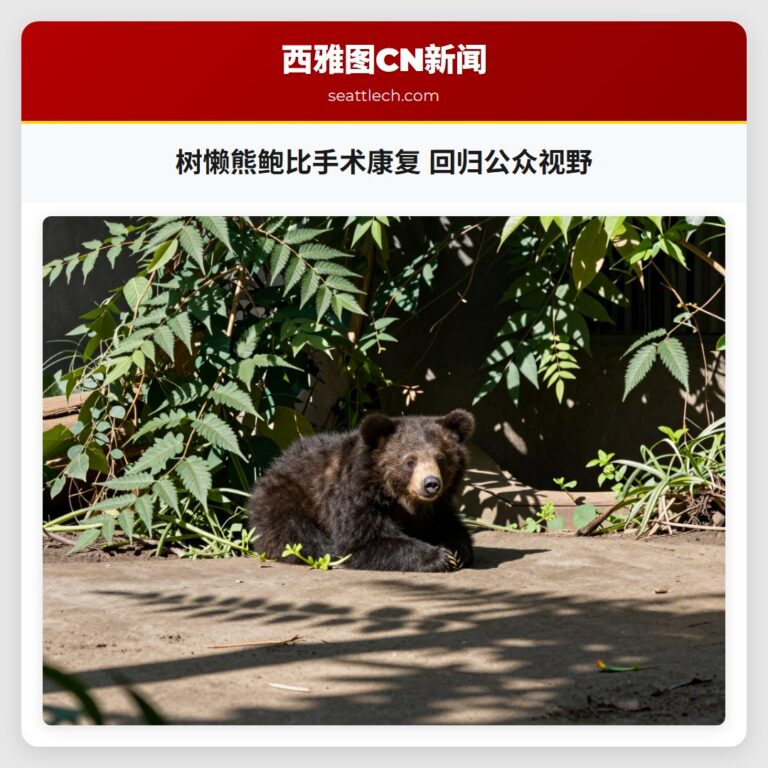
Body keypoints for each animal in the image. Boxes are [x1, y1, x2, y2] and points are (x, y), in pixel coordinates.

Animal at [248, 409, 475, 572]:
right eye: (410, 461)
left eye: (440, 458)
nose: (431, 484)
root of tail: (271, 468)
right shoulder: (355, 498)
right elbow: (362, 542)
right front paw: (439, 556)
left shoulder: (436, 508)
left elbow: (450, 526)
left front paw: (456, 550)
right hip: (286, 497)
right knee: (296, 532)